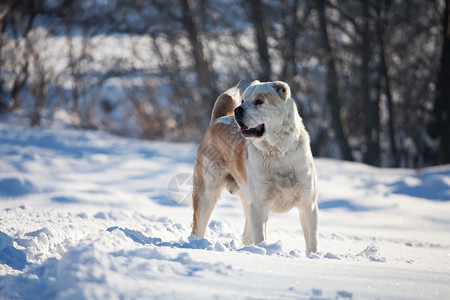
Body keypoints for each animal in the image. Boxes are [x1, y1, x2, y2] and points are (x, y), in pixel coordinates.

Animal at [192, 79, 318, 253]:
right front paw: (263, 251)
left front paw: (313, 256)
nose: (238, 110)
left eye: (259, 101)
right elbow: (261, 237)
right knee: (198, 227)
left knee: (246, 235)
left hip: (246, 201)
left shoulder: (308, 205)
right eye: (243, 101)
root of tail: (219, 119)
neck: (278, 153)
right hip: (206, 194)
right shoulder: (259, 205)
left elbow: (312, 242)